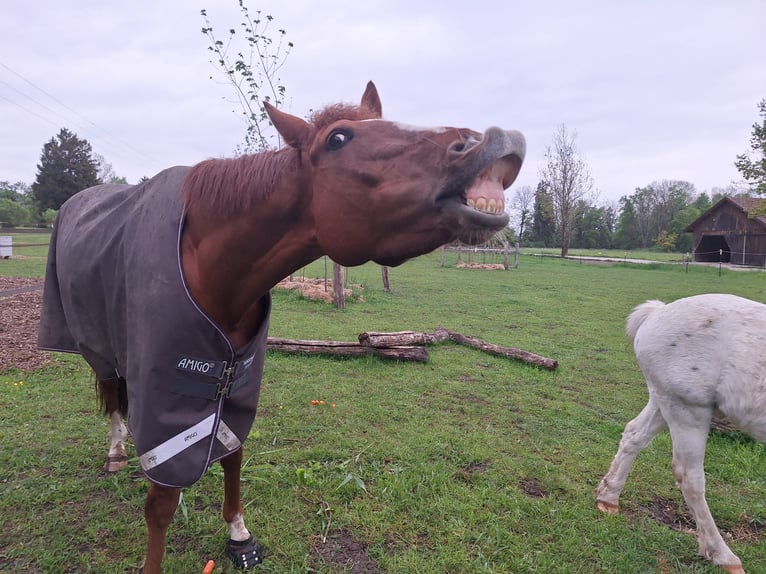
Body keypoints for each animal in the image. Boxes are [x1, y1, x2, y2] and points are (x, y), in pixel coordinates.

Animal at [37, 82, 528, 574]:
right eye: (338, 138)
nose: (493, 140)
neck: (212, 271)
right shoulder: (165, 399)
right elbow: (162, 501)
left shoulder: (237, 379)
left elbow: (233, 454)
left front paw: (239, 535)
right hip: (98, 345)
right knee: (112, 392)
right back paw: (116, 451)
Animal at [600, 294, 766, 572]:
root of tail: (658, 312)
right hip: (688, 409)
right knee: (690, 477)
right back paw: (722, 555)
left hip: (663, 399)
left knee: (634, 435)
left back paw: (608, 497)